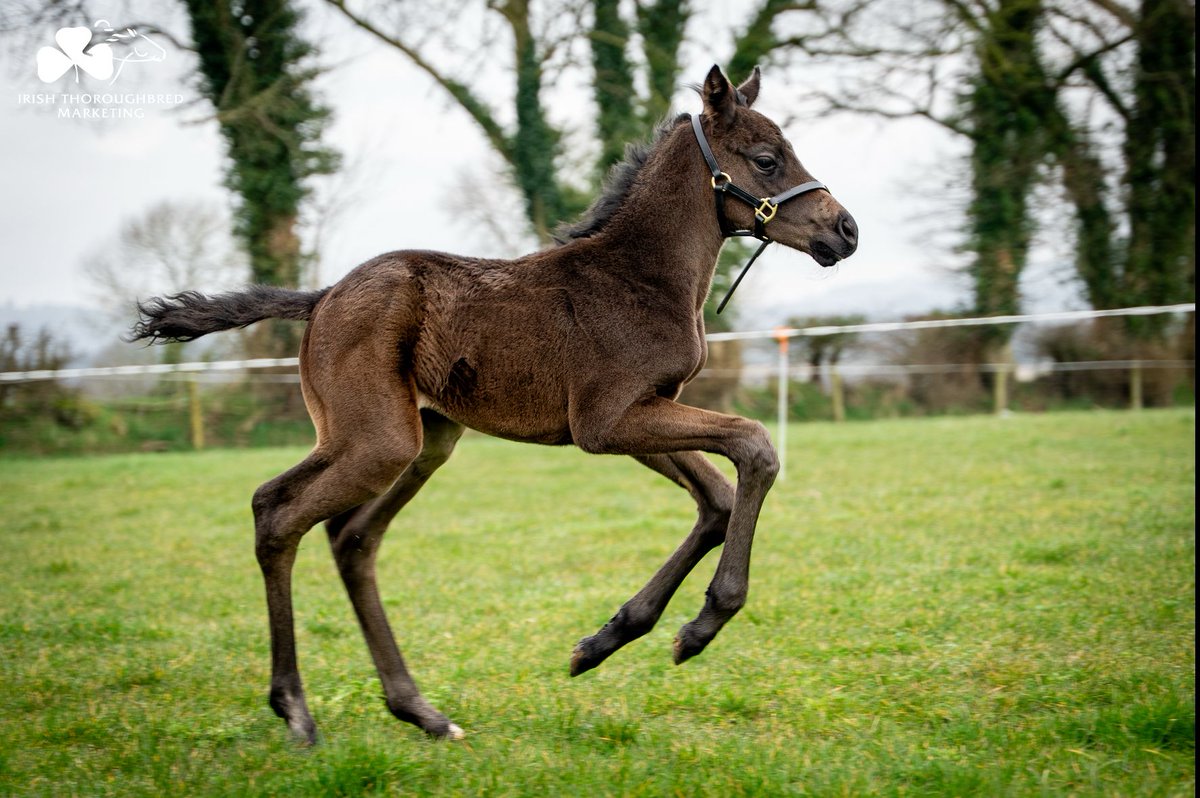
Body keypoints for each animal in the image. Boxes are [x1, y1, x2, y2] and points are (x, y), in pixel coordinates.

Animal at [130, 65, 859, 744]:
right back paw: (296, 711)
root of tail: (322, 297)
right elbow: (755, 447)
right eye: (766, 159)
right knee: (278, 514)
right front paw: (704, 624)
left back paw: (420, 711)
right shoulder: (610, 421)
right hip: (377, 440)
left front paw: (605, 641)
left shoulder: (642, 416)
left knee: (351, 536)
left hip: (425, 440)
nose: (846, 229)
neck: (638, 277)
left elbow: (717, 501)